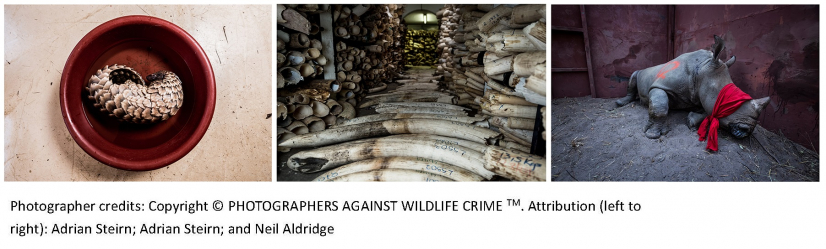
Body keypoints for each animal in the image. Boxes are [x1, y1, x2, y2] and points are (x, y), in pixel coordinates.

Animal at [616, 35, 768, 152]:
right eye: (728, 101)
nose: (747, 129)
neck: (703, 67)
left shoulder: (702, 96)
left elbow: (708, 112)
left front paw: (691, 120)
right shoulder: (660, 86)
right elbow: (660, 108)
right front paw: (653, 134)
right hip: (641, 71)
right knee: (633, 76)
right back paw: (620, 103)